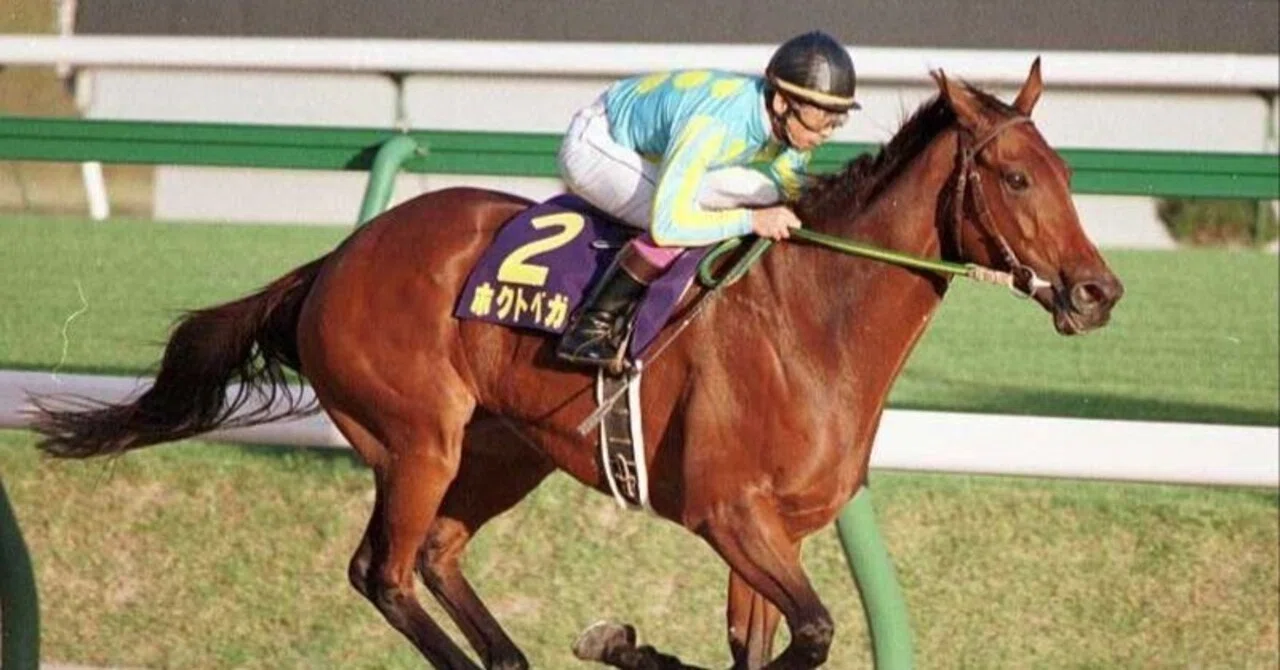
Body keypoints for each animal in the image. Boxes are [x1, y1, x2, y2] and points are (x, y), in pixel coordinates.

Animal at [31, 59, 1122, 669]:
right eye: (1015, 176)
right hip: (416, 440)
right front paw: (624, 644)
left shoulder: (774, 533)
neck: (810, 328)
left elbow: (766, 645)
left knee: (436, 555)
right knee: (381, 571)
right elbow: (810, 633)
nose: (1096, 291)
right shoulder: (730, 514)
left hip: (503, 451)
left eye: (1066, 173)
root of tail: (334, 259)